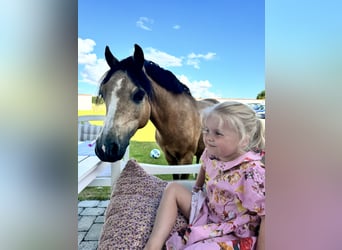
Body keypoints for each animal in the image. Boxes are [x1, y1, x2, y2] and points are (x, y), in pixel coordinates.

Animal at [95, 44, 218, 179]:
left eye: (139, 95)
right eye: (103, 93)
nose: (104, 148)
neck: (177, 121)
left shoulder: (186, 158)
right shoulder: (170, 158)